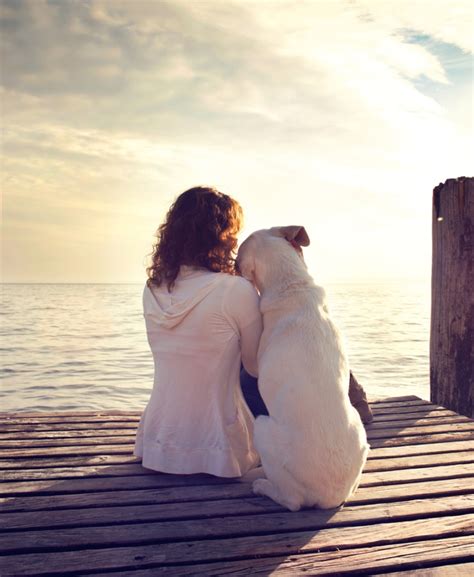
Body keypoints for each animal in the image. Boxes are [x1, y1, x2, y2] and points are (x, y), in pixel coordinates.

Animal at [237, 225, 370, 508]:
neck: (292, 286)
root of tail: (328, 497)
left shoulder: (254, 364)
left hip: (262, 426)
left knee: (291, 501)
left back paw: (264, 486)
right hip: (359, 430)